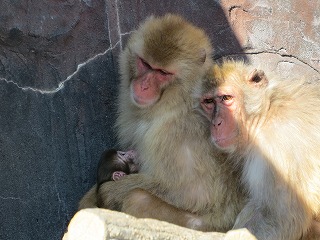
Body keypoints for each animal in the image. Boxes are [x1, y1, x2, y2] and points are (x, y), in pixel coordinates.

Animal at [79, 14, 244, 231]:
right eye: (145, 64)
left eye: (163, 73)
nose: (143, 85)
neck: (177, 98)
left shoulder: (174, 132)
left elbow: (194, 194)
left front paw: (106, 193)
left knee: (137, 199)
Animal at [196, 61, 320, 238]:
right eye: (208, 101)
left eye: (226, 98)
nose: (216, 123)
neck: (266, 114)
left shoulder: (277, 150)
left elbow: (278, 218)